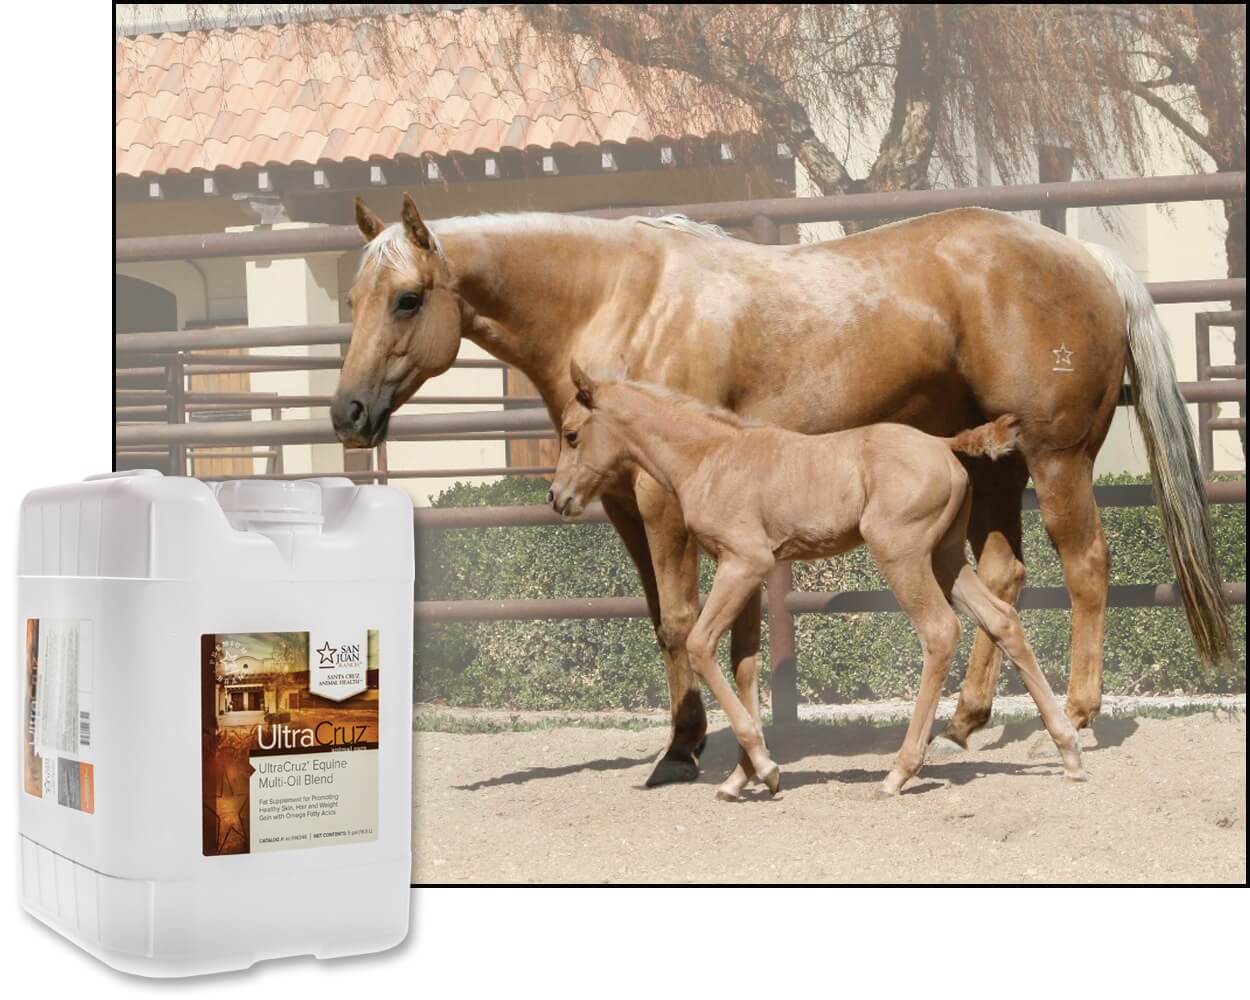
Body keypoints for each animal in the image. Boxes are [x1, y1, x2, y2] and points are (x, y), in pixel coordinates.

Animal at [548, 364, 1086, 798]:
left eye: (571, 434)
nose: (557, 497)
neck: (710, 457)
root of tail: (942, 443)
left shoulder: (743, 564)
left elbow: (701, 646)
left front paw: (765, 769)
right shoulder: (747, 571)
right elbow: (745, 664)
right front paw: (742, 777)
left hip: (903, 555)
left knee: (939, 632)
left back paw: (900, 771)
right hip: (946, 557)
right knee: (1003, 619)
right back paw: (1068, 751)